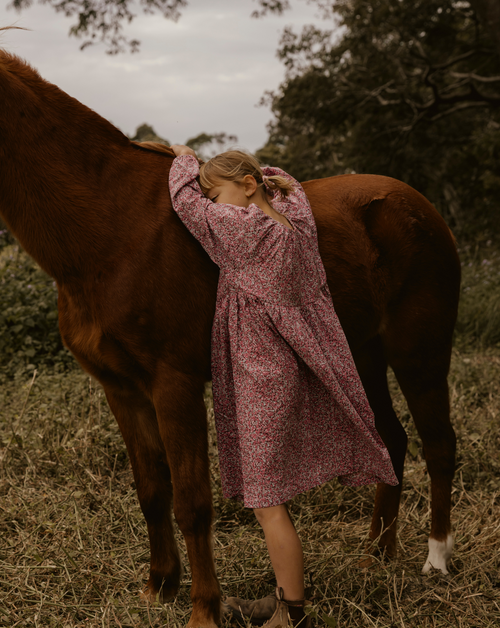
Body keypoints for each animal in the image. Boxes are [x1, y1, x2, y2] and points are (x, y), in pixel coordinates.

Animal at [0, 47, 460, 624]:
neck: (112, 229)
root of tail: (423, 207)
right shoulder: (121, 389)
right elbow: (151, 490)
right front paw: (159, 587)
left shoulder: (173, 385)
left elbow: (192, 500)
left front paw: (203, 609)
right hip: (362, 356)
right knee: (393, 440)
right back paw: (375, 556)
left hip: (420, 352)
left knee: (438, 444)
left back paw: (435, 561)